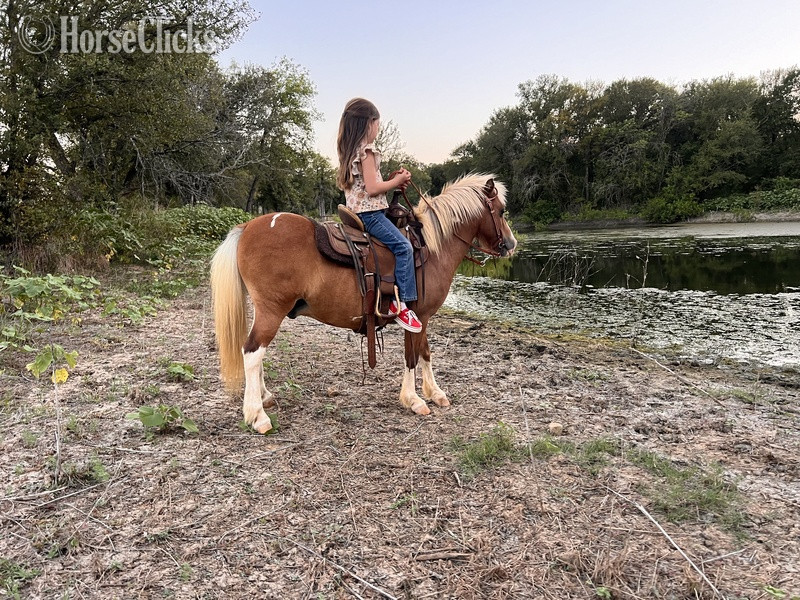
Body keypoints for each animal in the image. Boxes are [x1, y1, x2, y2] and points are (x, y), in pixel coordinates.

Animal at [210, 173, 517, 433]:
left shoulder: (424, 317)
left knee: (255, 352)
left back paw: (264, 397)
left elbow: (426, 352)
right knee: (252, 352)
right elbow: (411, 356)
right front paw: (414, 399)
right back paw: (257, 415)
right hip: (272, 310)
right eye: (501, 211)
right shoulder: (418, 315)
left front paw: (435, 392)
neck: (430, 247)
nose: (511, 243)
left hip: (267, 311)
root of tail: (247, 226)